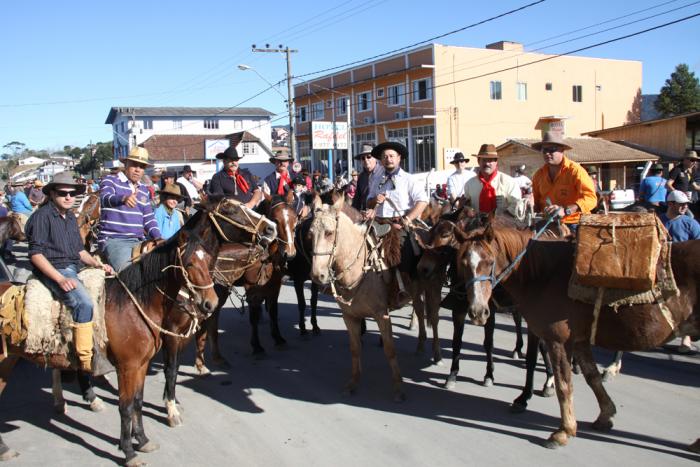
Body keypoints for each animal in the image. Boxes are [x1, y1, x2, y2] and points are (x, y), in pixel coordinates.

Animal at [452, 218, 696, 450]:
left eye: (490, 261)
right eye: (462, 263)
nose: (477, 311)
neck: (543, 275)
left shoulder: (558, 340)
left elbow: (564, 384)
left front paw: (564, 431)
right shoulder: (577, 340)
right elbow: (591, 377)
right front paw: (605, 414)